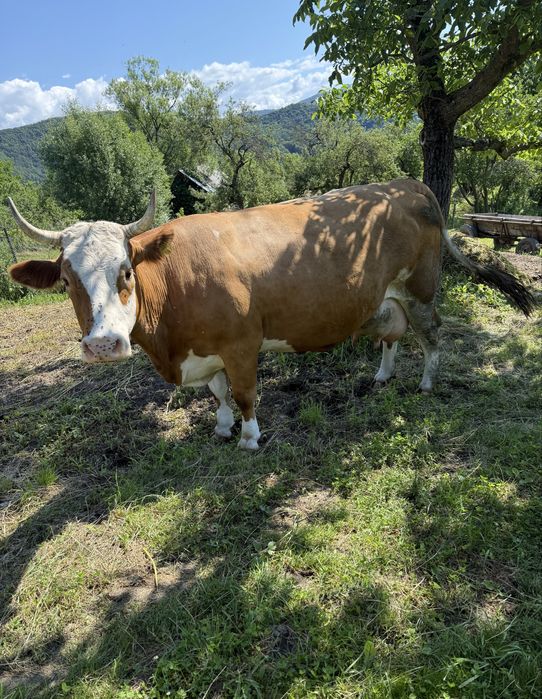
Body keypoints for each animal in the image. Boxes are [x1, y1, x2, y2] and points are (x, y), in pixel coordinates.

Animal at [7, 179, 534, 450]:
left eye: (126, 272)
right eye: (65, 280)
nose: (102, 344)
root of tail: (408, 184)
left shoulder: (241, 344)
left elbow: (243, 393)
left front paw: (248, 437)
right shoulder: (208, 352)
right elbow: (218, 393)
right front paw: (221, 427)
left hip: (422, 287)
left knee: (431, 334)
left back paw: (426, 382)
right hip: (385, 297)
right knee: (392, 332)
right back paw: (382, 376)